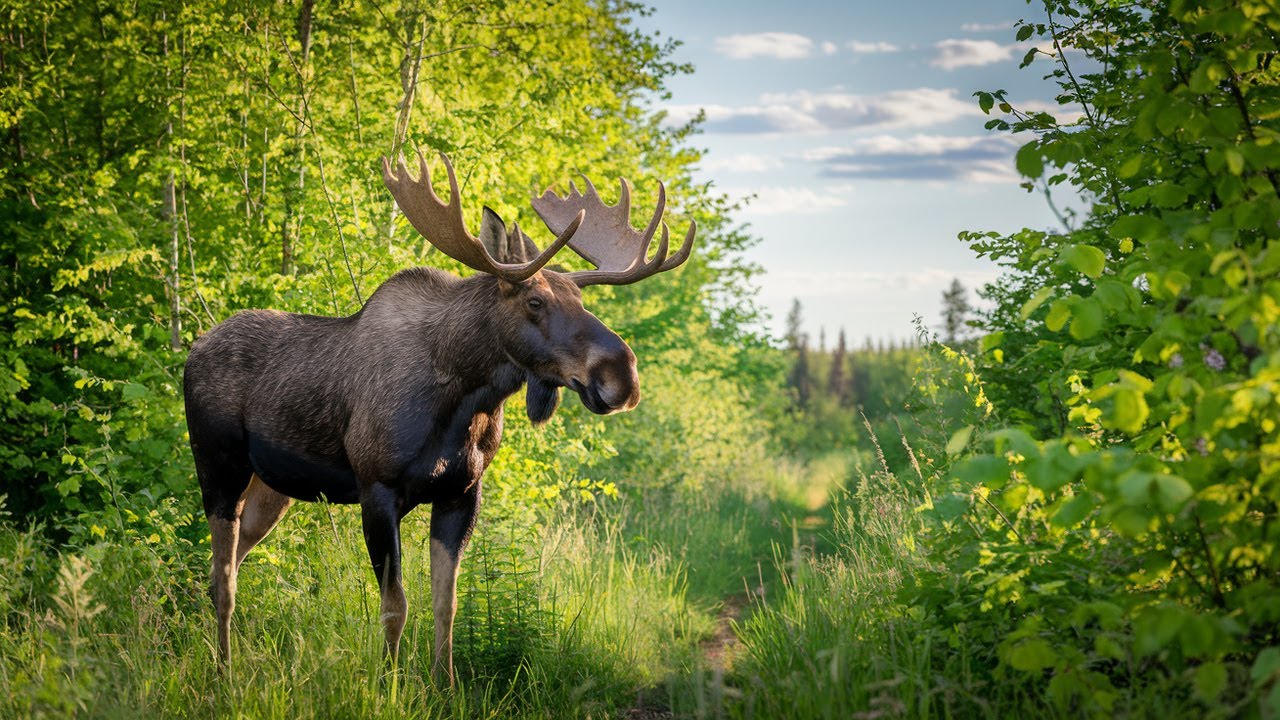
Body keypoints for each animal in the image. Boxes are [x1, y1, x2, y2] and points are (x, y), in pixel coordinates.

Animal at [183, 150, 695, 685]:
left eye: (581, 302)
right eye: (535, 301)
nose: (622, 374)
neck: (463, 401)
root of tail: (193, 348)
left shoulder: (461, 493)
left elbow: (445, 603)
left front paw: (443, 684)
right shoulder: (377, 489)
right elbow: (395, 606)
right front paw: (388, 685)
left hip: (272, 488)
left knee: (225, 567)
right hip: (218, 467)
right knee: (223, 578)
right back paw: (223, 672)